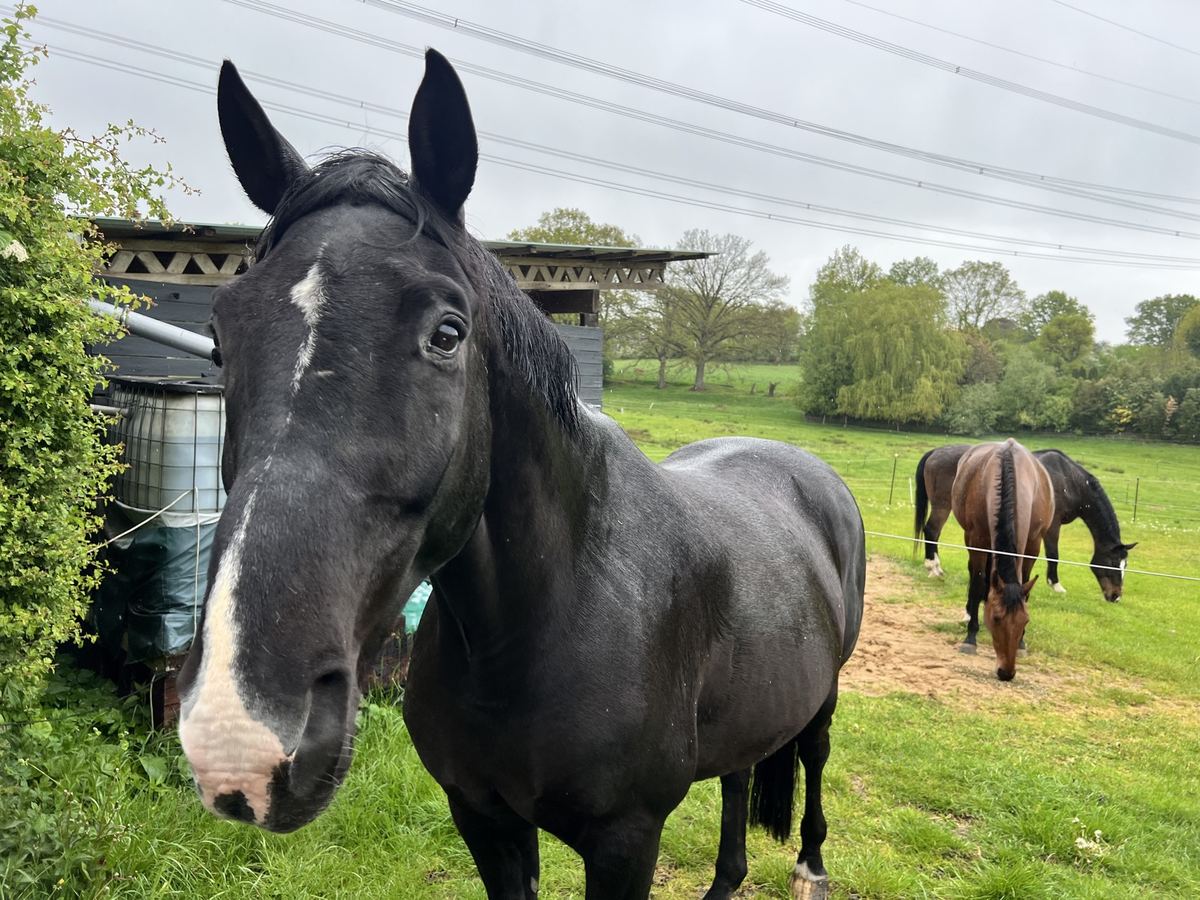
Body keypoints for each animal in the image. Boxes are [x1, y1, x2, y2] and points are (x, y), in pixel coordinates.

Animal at [176, 52, 865, 900]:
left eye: (447, 333)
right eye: (218, 336)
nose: (238, 733)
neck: (549, 614)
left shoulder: (626, 842)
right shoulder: (484, 820)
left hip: (826, 694)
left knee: (813, 756)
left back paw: (810, 867)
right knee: (739, 776)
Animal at [915, 445, 1135, 601]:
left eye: (1125, 565)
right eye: (1113, 563)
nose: (1116, 596)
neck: (1068, 480)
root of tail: (935, 452)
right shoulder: (1053, 526)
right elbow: (1054, 555)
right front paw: (1056, 585)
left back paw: (937, 567)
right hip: (942, 505)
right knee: (931, 530)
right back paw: (933, 567)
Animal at [950, 439, 1054, 681]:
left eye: (1025, 620)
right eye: (996, 618)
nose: (1006, 672)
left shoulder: (1033, 544)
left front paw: (1022, 643)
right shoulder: (977, 539)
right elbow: (977, 584)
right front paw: (970, 638)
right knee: (976, 577)